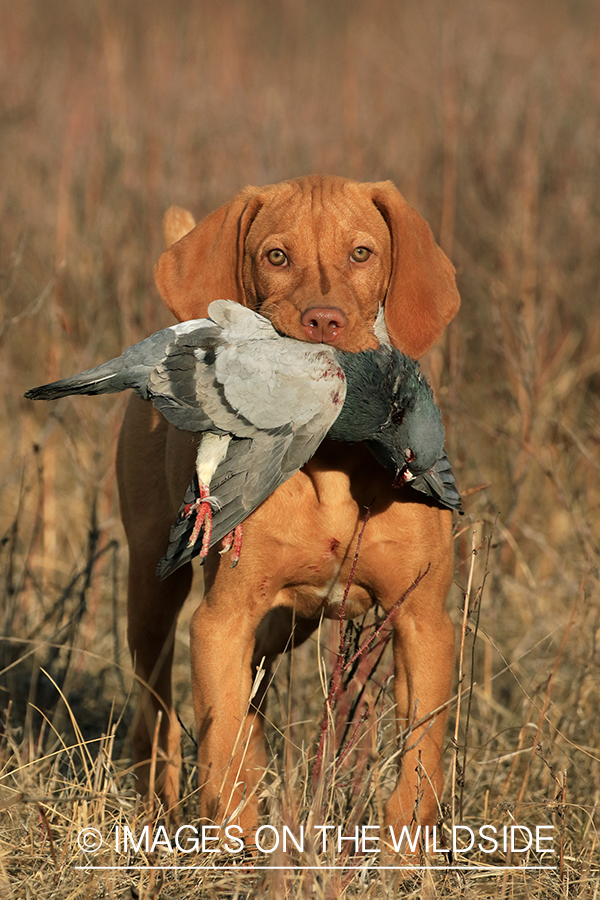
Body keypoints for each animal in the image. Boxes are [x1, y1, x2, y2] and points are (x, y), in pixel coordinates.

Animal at [118, 174, 464, 844]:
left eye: (363, 253)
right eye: (276, 256)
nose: (323, 320)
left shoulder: (424, 622)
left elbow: (418, 771)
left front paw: (403, 855)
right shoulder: (220, 621)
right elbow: (221, 757)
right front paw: (236, 845)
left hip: (282, 628)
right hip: (151, 593)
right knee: (159, 719)